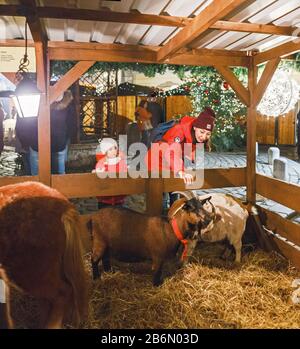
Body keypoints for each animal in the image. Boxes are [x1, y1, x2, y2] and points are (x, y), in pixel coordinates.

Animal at [85, 194, 214, 284]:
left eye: (202, 206)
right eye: (191, 208)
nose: (208, 219)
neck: (171, 228)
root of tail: (92, 217)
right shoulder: (158, 257)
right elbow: (157, 271)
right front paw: (157, 284)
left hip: (106, 243)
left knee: (105, 256)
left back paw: (109, 271)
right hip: (99, 241)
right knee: (94, 259)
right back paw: (96, 277)